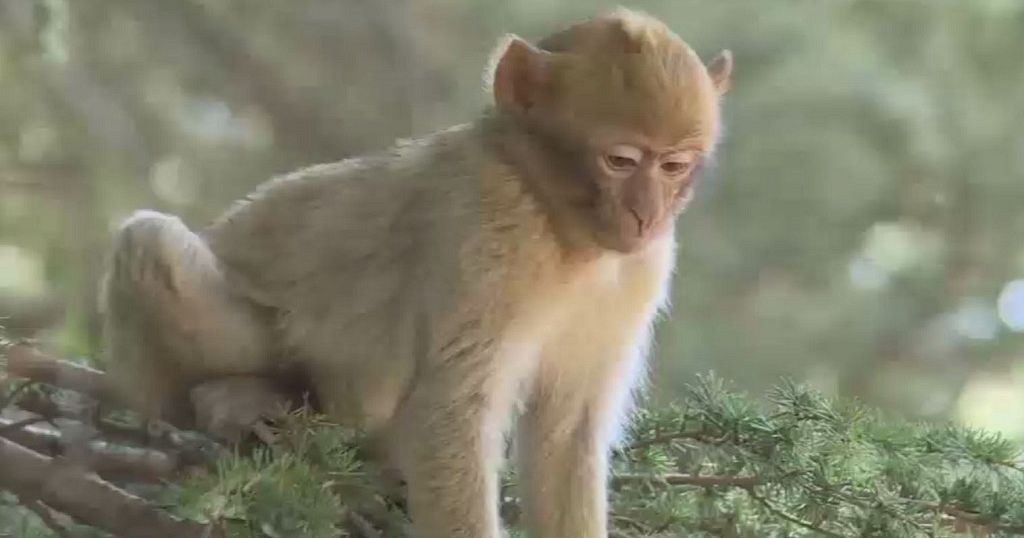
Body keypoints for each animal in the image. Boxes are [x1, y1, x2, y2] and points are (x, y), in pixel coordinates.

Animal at [98, 8, 732, 538]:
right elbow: (449, 414)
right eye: (621, 161)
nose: (647, 214)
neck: (559, 225)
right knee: (148, 242)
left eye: (674, 166)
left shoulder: (641, 268)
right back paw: (229, 401)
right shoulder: (489, 235)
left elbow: (566, 430)